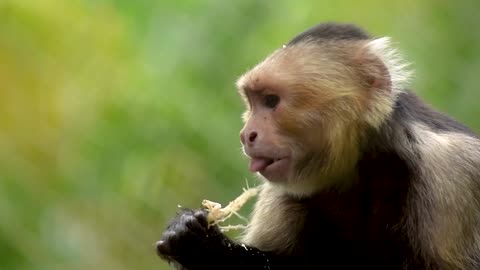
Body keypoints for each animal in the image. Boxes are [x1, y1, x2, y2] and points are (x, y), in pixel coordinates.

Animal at [156, 23, 480, 270]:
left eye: (270, 101)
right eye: (252, 102)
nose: (246, 134)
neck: (361, 167)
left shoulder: (452, 174)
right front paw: (195, 241)